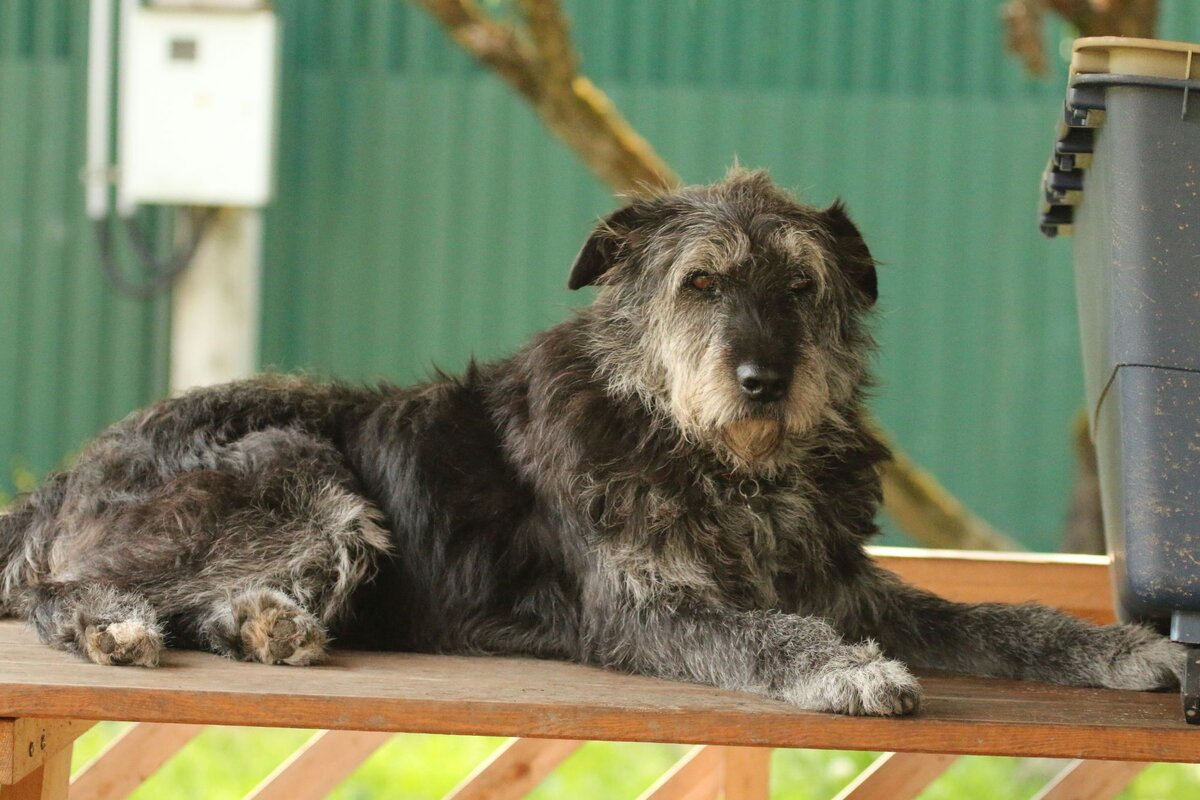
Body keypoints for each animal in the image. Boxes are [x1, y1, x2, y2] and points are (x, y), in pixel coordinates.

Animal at [0, 167, 1180, 714]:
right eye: (700, 283)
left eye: (801, 286)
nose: (765, 380)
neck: (720, 461)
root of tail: (62, 478)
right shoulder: (648, 605)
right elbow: (767, 634)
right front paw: (846, 671)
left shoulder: (844, 581)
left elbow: (1000, 616)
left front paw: (1122, 648)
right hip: (303, 469)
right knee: (63, 590)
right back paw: (114, 626)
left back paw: (268, 623)